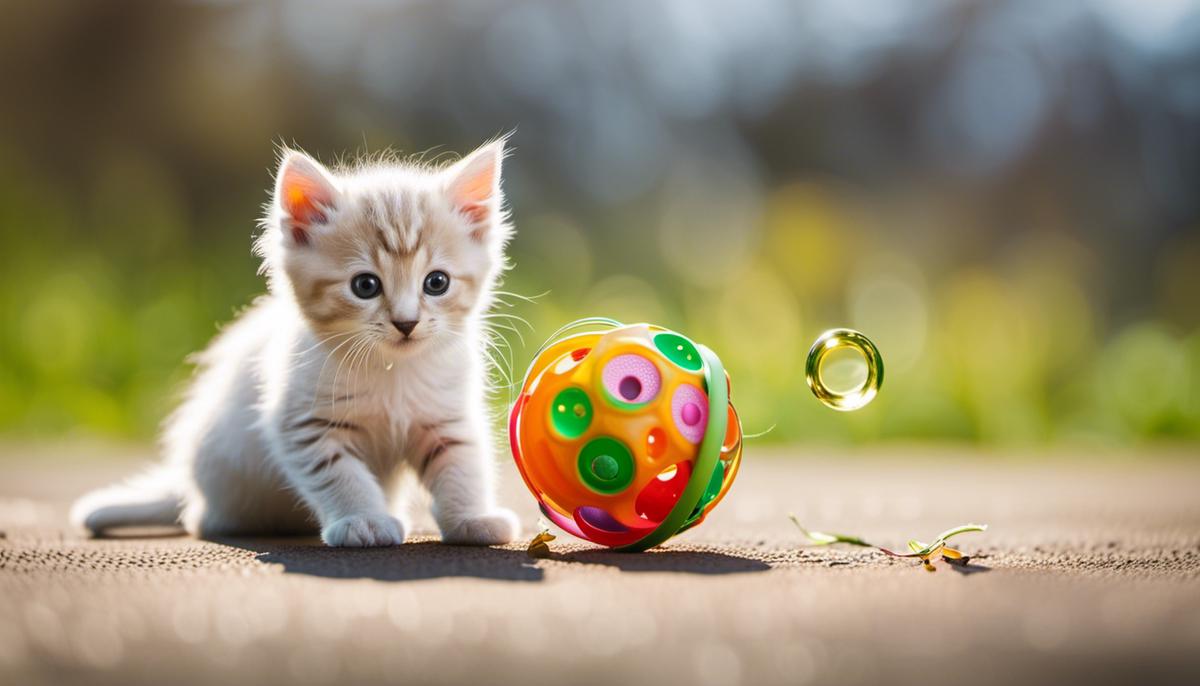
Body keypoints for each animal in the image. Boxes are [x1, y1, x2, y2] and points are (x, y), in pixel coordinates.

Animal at [70, 139, 520, 546]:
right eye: (365, 286)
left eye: (437, 282)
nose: (406, 323)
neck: (392, 368)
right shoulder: (306, 424)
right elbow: (341, 475)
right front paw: (362, 520)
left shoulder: (447, 418)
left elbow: (461, 469)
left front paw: (471, 519)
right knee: (202, 519)